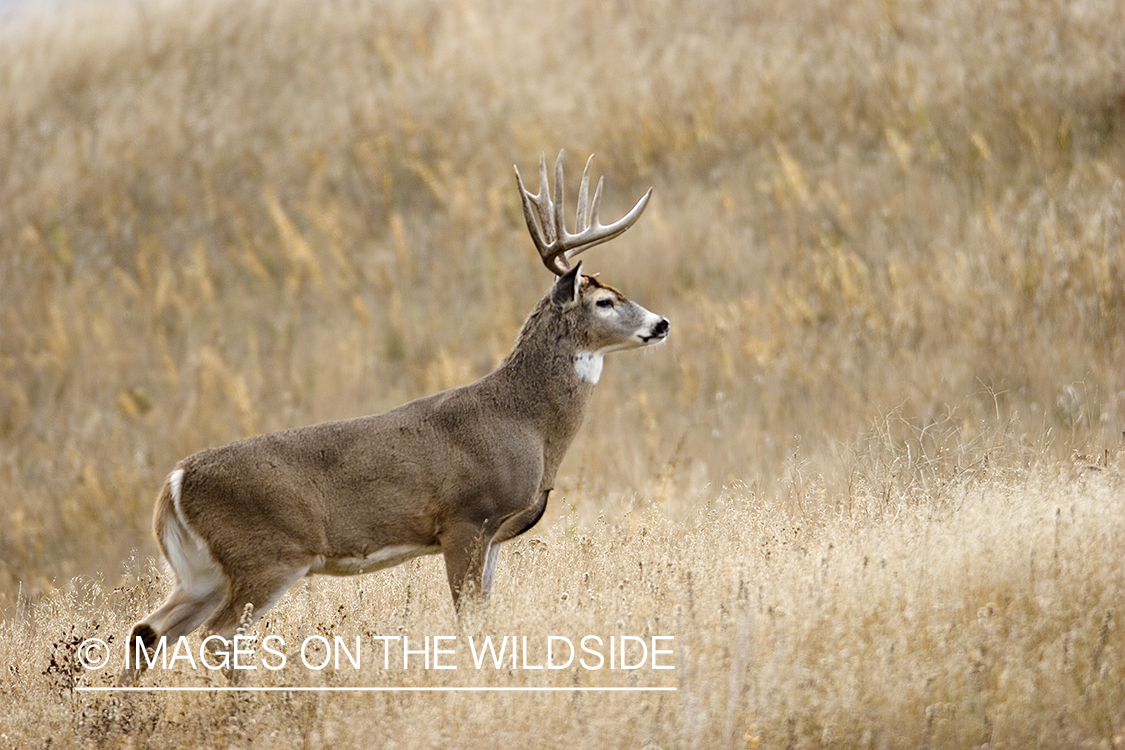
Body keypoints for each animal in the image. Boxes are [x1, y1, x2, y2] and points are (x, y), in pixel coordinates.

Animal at [120, 149, 666, 683]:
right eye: (605, 301)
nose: (661, 323)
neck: (526, 423)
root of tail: (175, 481)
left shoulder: (494, 535)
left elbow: (486, 618)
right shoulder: (466, 518)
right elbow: (468, 621)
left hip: (203, 570)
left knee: (147, 631)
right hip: (267, 554)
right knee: (218, 635)